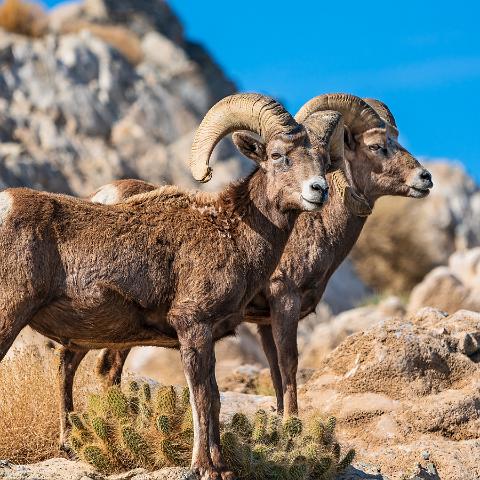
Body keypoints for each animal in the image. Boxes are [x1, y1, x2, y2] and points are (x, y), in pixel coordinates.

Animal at [0, 92, 342, 478]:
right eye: (277, 155)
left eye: (323, 160)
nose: (318, 190)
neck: (233, 233)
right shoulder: (192, 325)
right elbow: (202, 397)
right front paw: (203, 467)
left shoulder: (209, 335)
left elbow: (215, 398)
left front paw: (221, 467)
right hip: (10, 315)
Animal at [69, 94, 434, 424]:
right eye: (377, 146)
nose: (425, 179)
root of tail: (103, 197)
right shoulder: (284, 300)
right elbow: (288, 364)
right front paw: (293, 424)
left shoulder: (263, 322)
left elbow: (274, 371)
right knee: (108, 368)